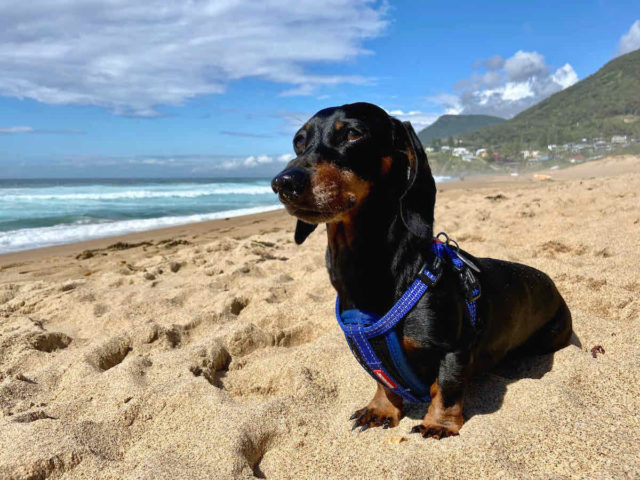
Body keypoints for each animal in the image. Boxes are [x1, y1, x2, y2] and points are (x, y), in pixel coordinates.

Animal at [270, 102, 568, 438]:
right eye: (299, 141)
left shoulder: (454, 347)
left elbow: (447, 387)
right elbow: (383, 381)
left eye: (353, 133)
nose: (283, 182)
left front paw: (439, 424)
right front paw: (381, 409)